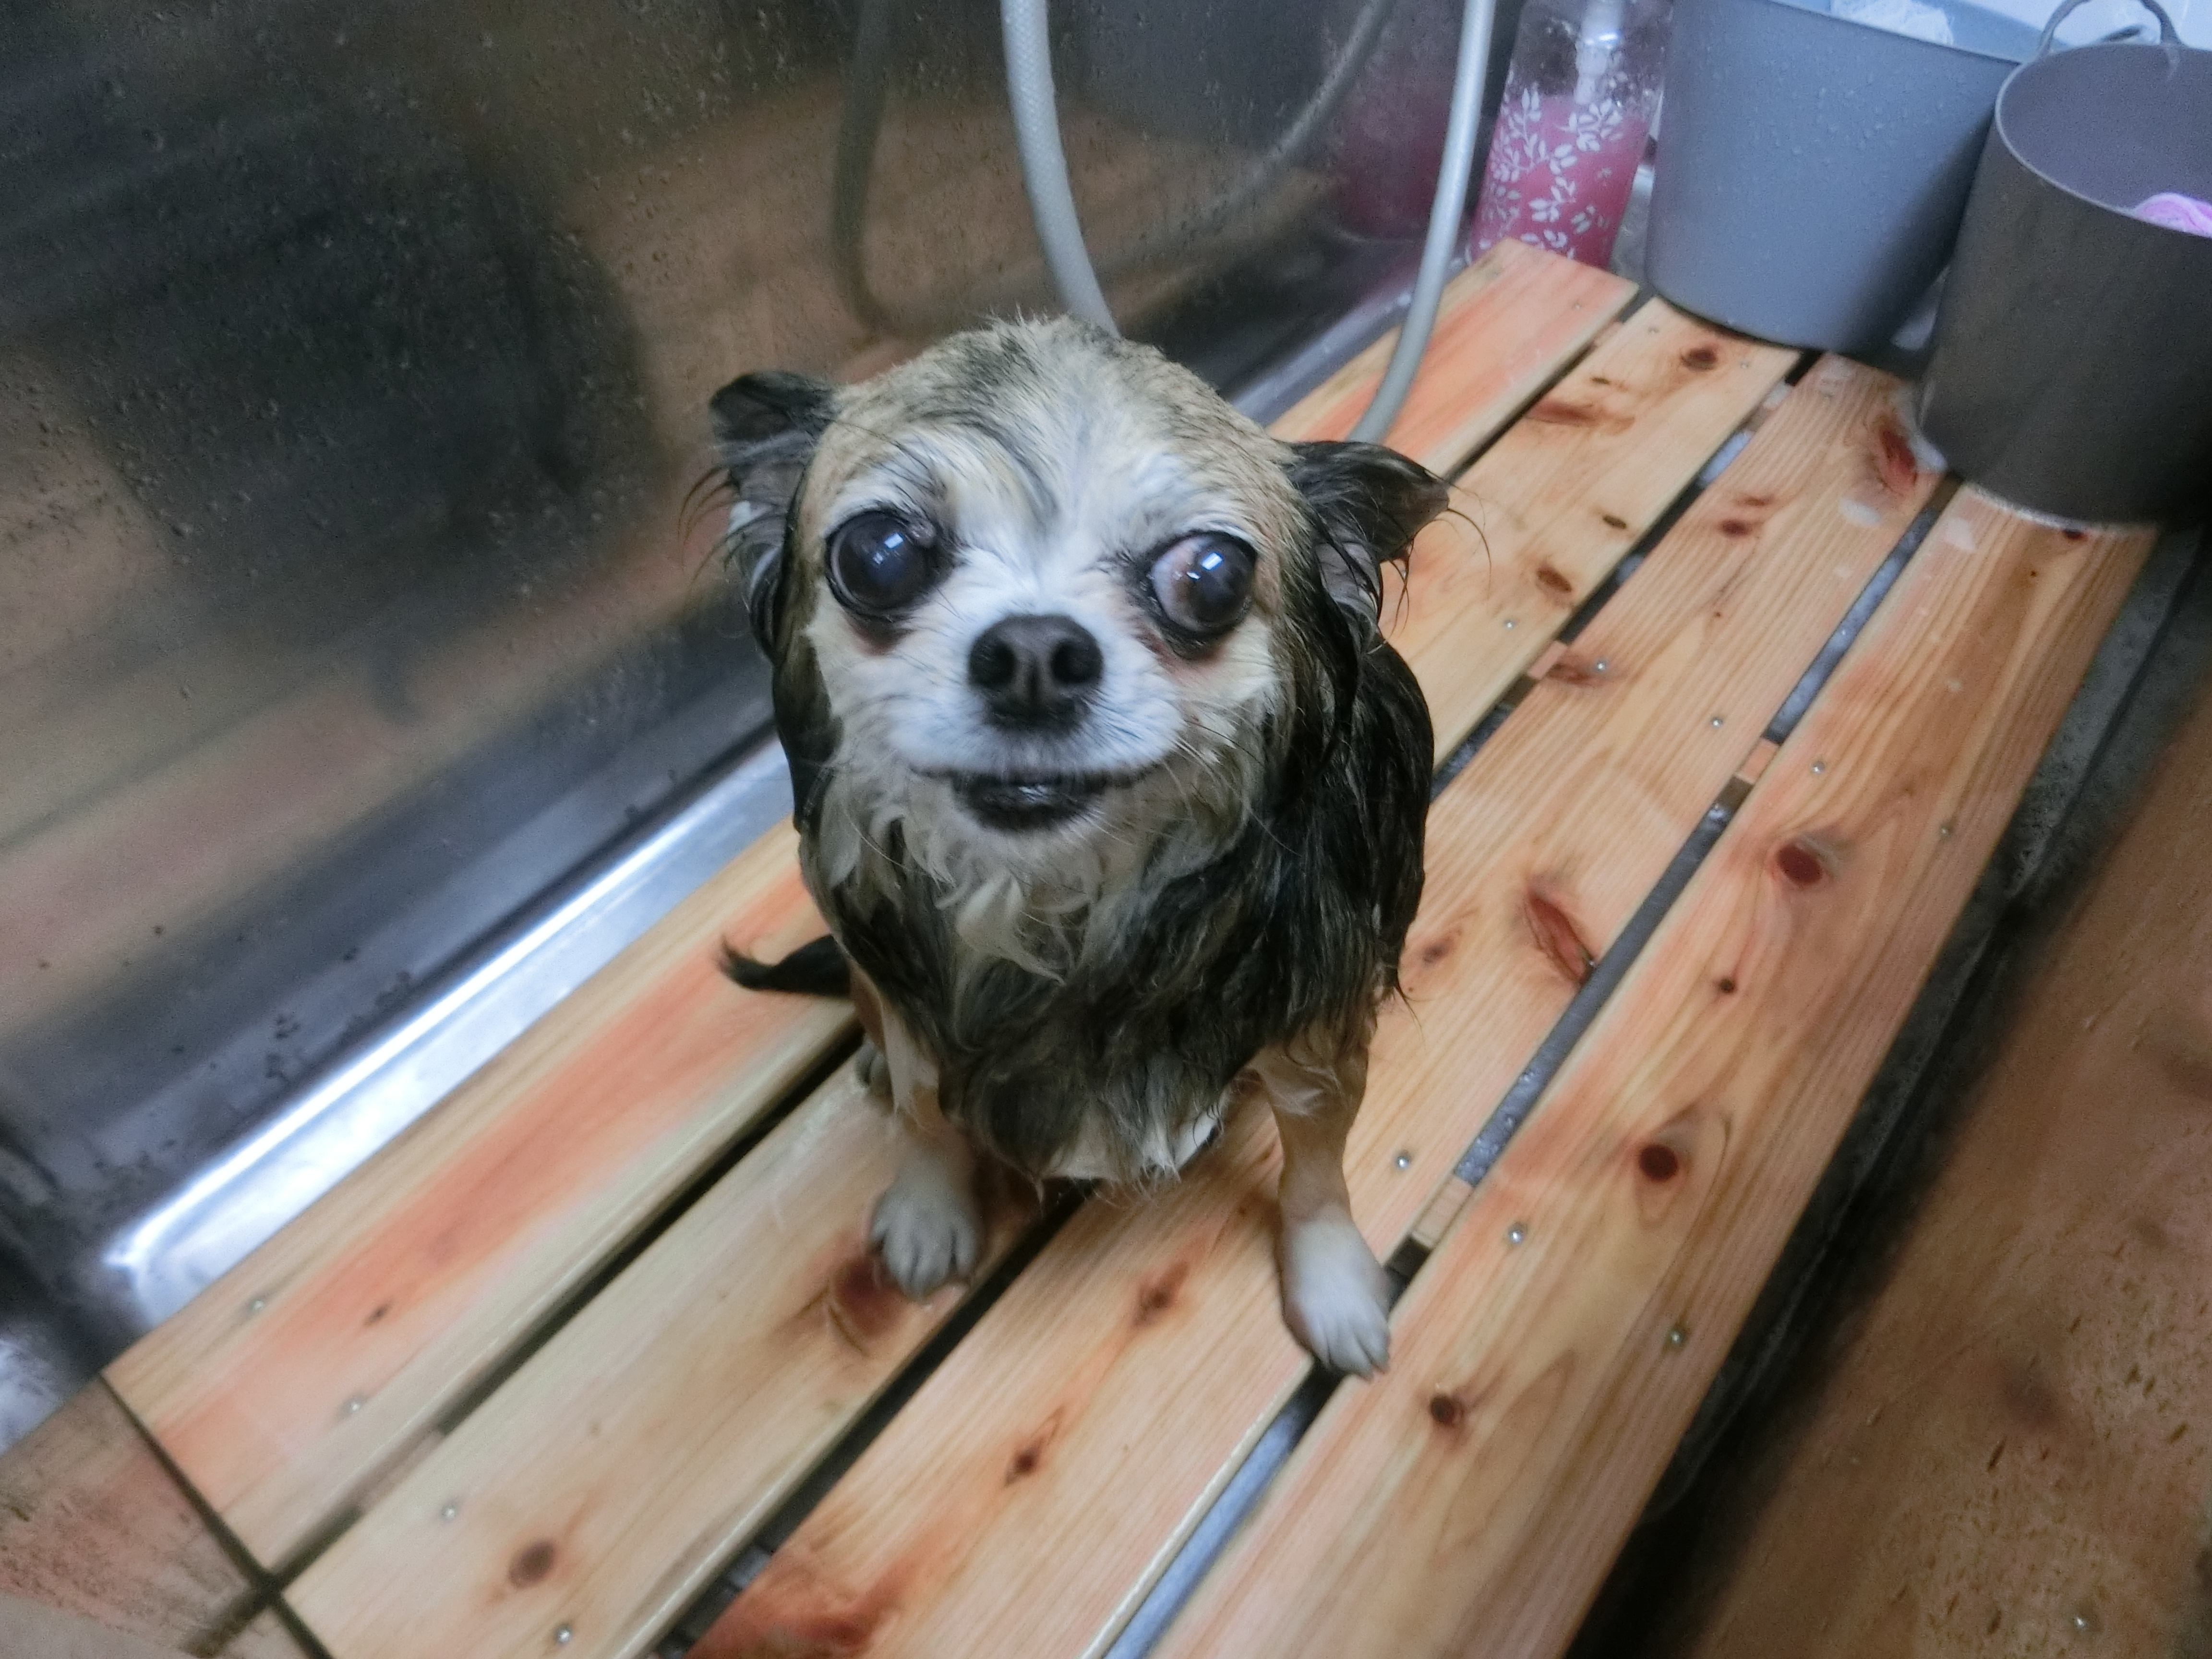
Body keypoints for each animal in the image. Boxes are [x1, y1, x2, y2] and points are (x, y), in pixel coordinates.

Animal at [713, 319, 1445, 1375]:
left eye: (1211, 576)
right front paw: (931, 1207)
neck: (1054, 906)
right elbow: (928, 1109)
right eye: (879, 554)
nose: (1033, 654)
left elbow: (1315, 1172)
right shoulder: (916, 1002)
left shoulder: (1318, 1036)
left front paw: (1334, 1283)